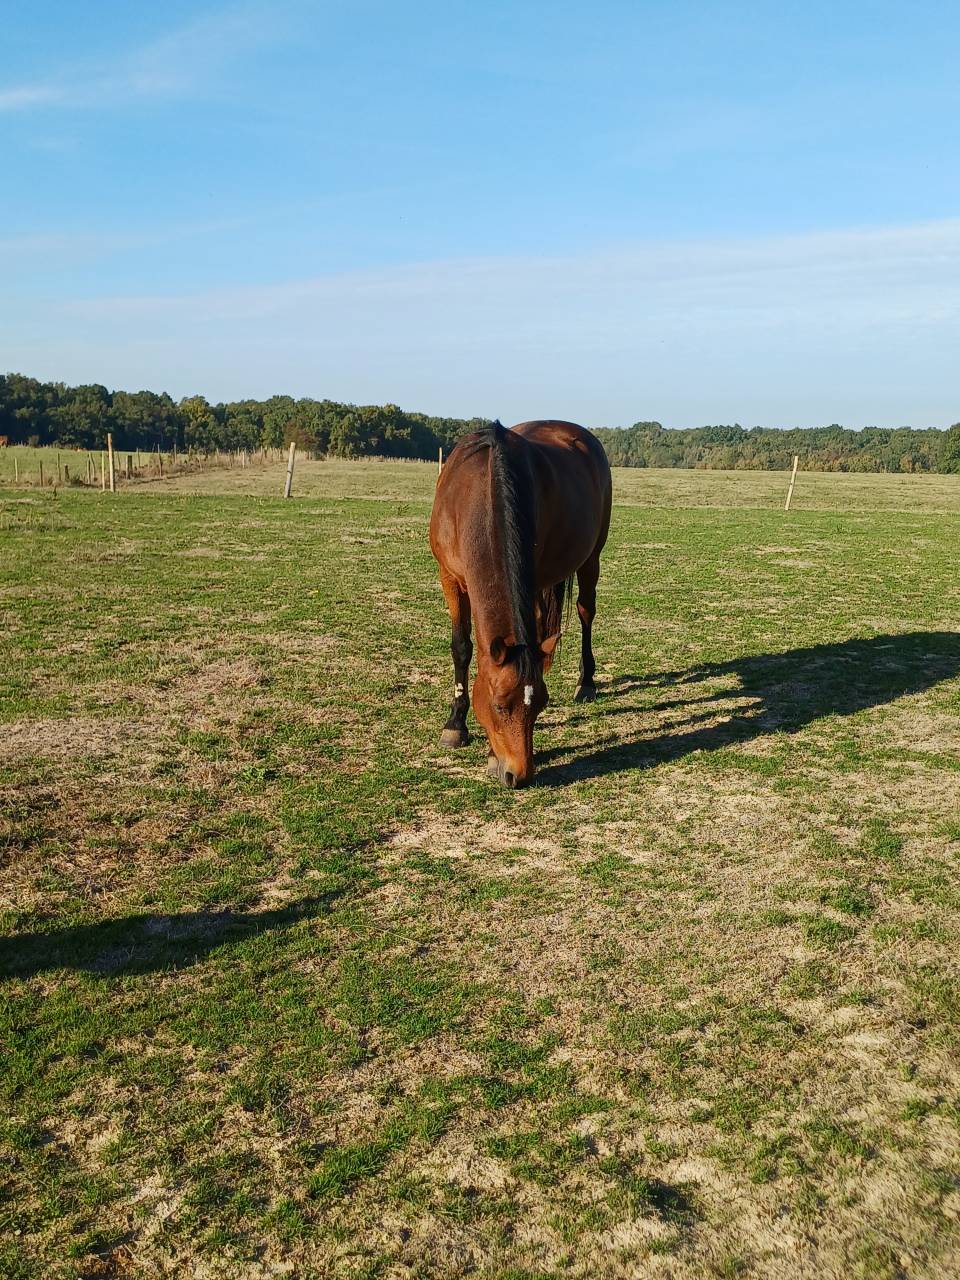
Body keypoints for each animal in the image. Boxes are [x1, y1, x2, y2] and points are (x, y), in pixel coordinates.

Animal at [429, 419, 612, 788]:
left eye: (538, 705)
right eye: (500, 706)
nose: (520, 774)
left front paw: (489, 754)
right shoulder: (450, 579)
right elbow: (461, 647)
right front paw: (455, 725)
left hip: (590, 559)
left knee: (586, 612)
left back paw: (586, 682)